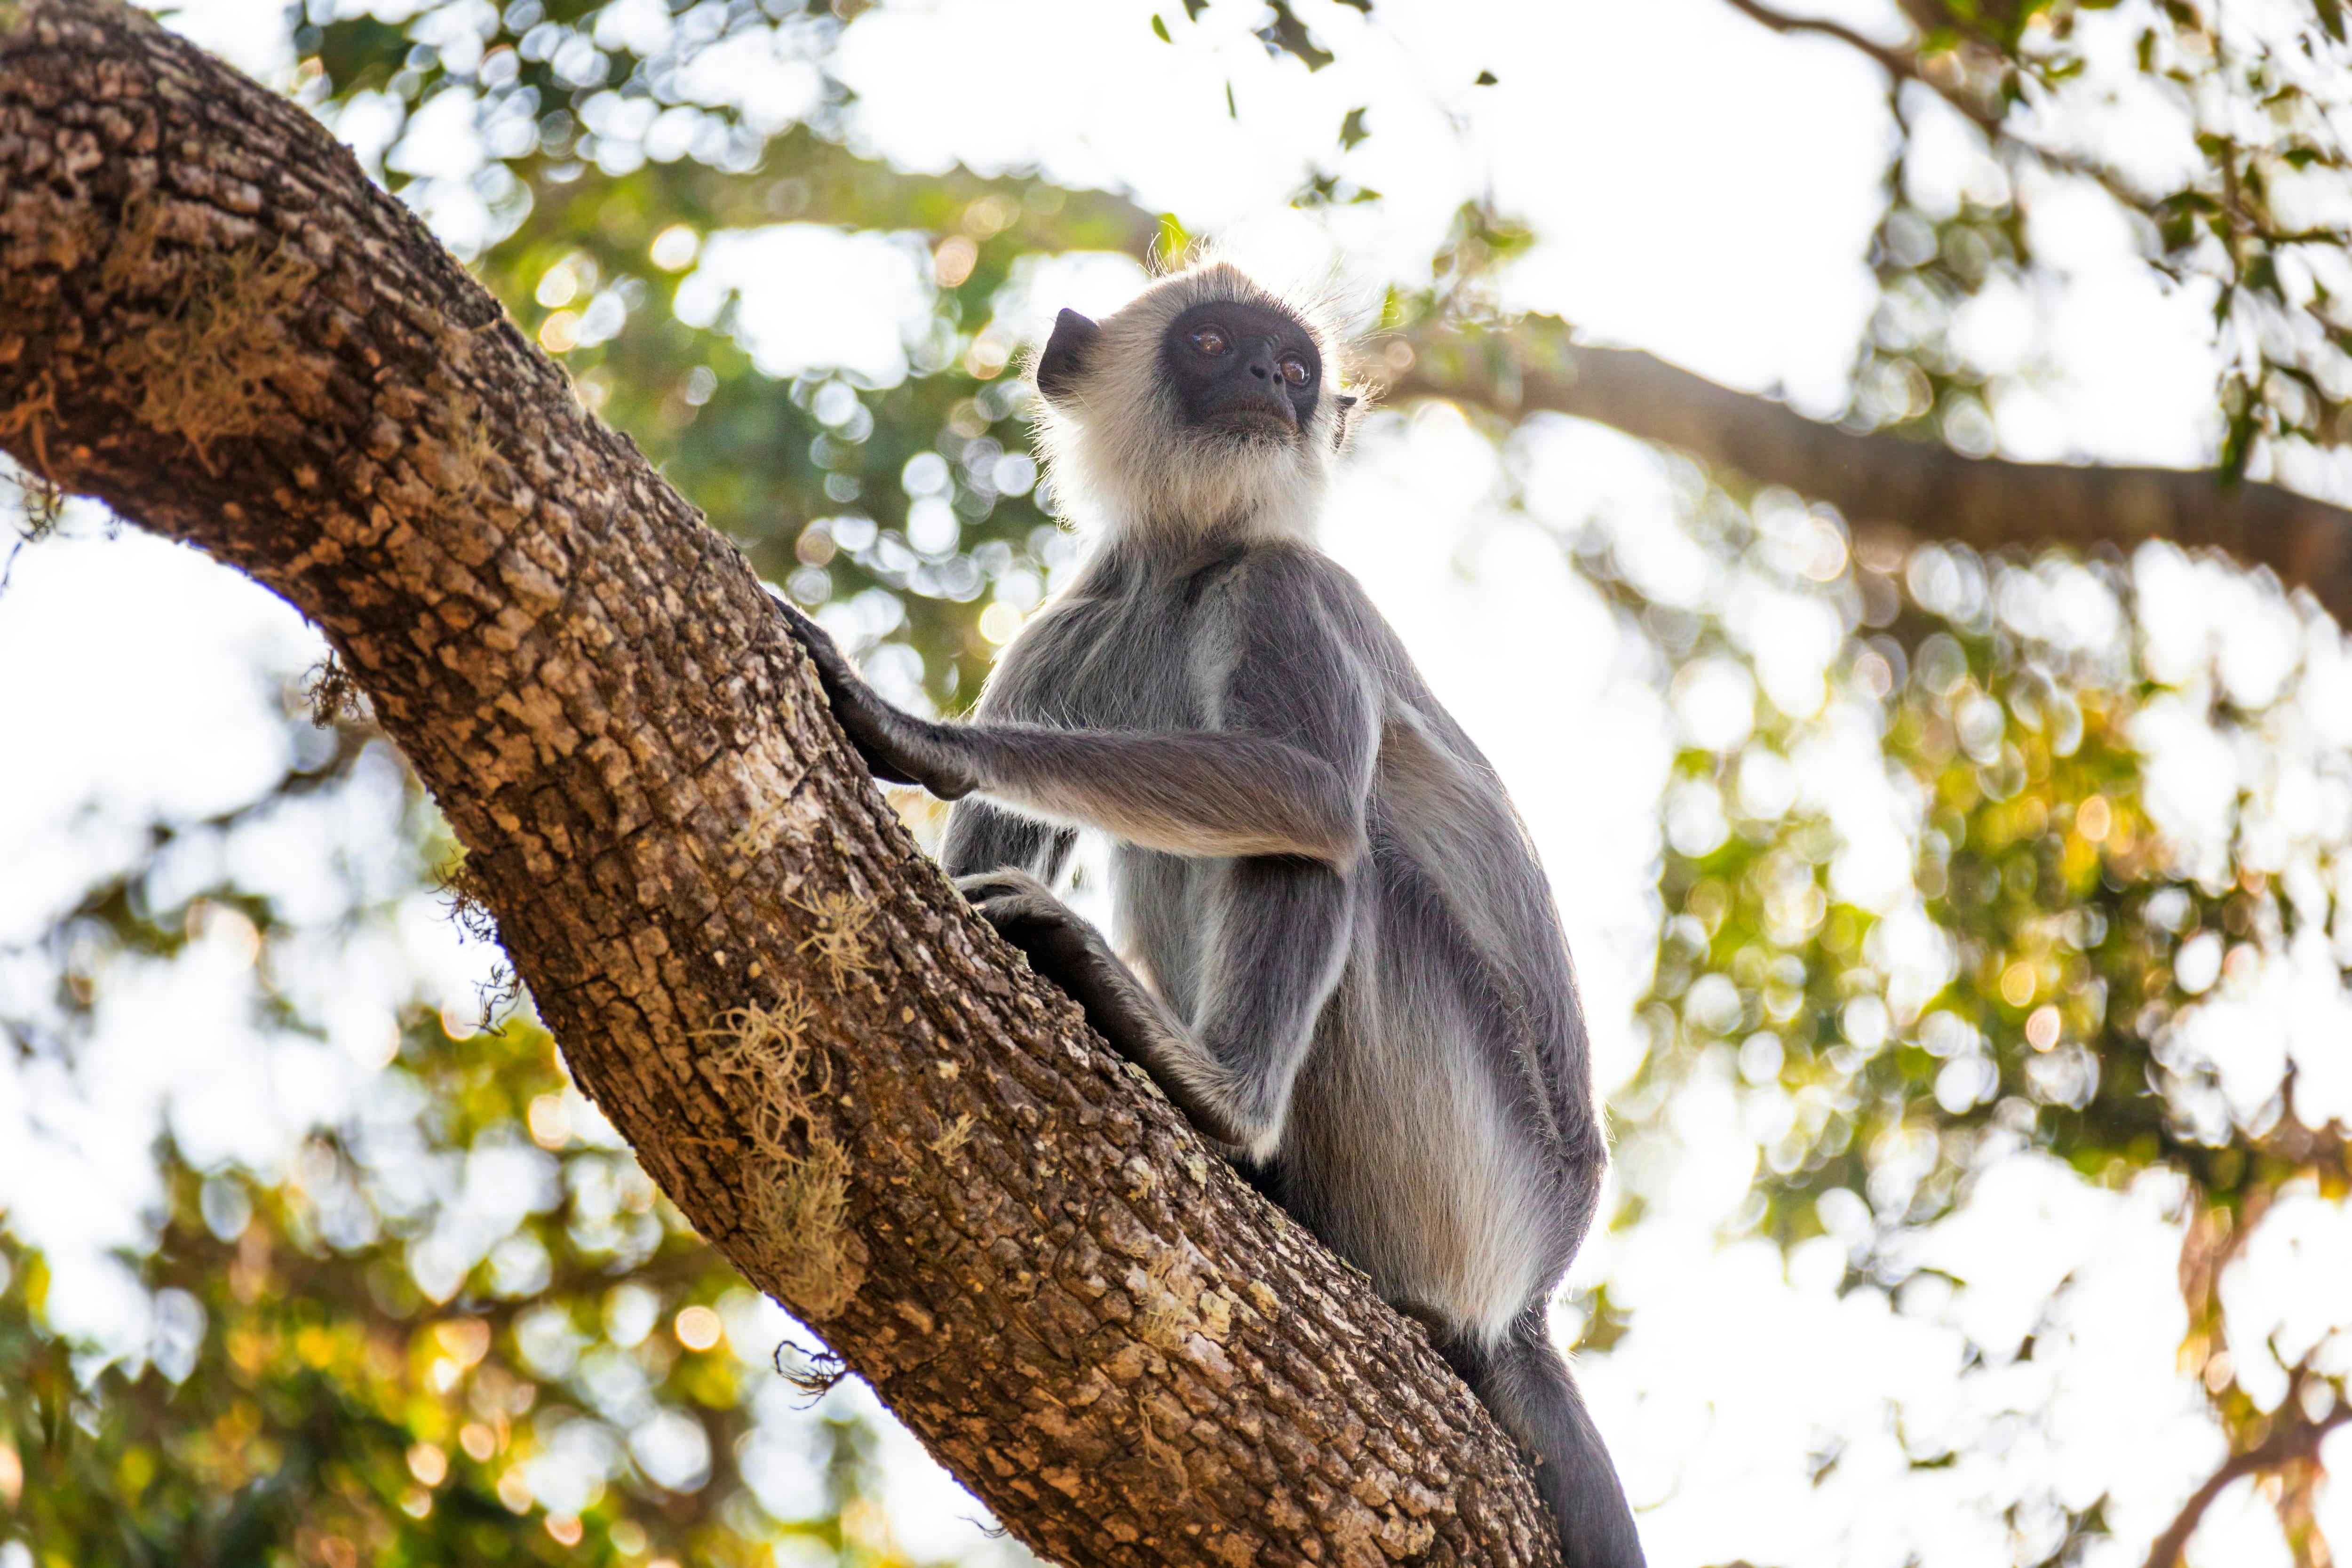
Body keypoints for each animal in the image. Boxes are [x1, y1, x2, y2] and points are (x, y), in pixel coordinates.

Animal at [781, 261, 1646, 1568]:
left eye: (1292, 369)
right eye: (1210, 343)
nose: (1261, 385)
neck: (1188, 568)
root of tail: (1535, 1291)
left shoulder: (1282, 587)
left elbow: (1309, 797)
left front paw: (919, 732)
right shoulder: (1070, 624)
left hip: (1465, 1161)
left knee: (1337, 843)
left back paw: (1222, 1102)